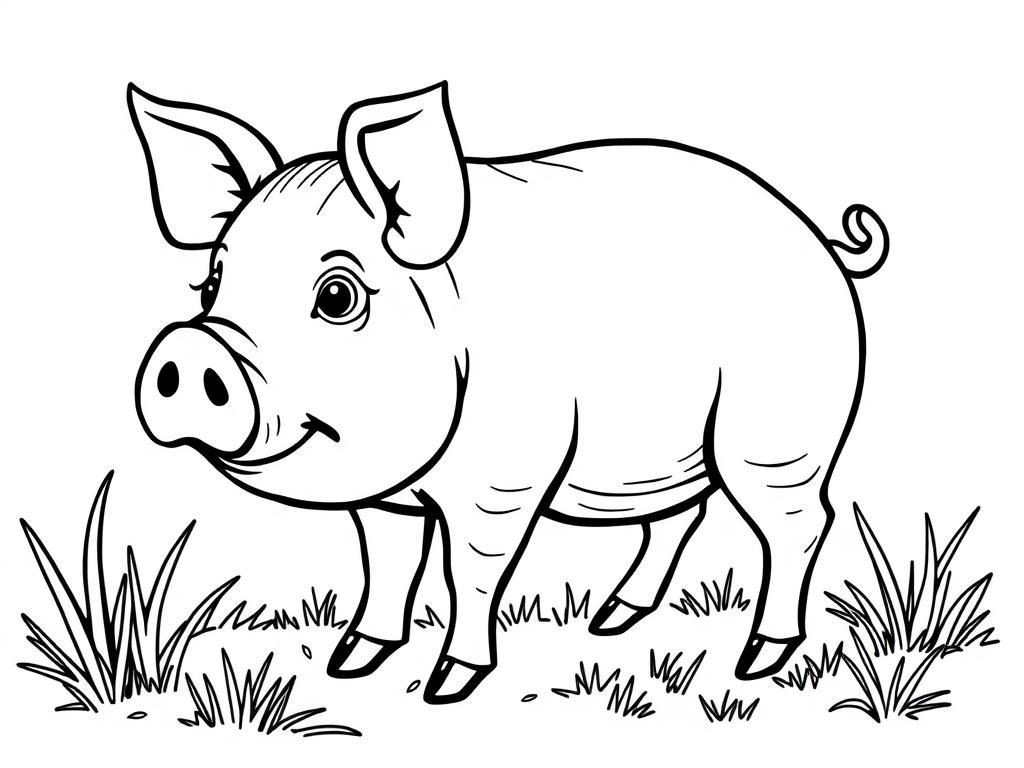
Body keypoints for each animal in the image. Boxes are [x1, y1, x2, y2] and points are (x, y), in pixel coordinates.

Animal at [128, 81, 887, 704]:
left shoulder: (503, 481)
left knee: (799, 524)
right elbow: (387, 566)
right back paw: (609, 621)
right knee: (680, 518)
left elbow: (470, 573)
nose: (191, 348)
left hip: (778, 439)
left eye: (337, 295)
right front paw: (348, 664)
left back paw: (756, 660)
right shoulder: (384, 502)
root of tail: (821, 239)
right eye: (210, 282)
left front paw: (445, 687)